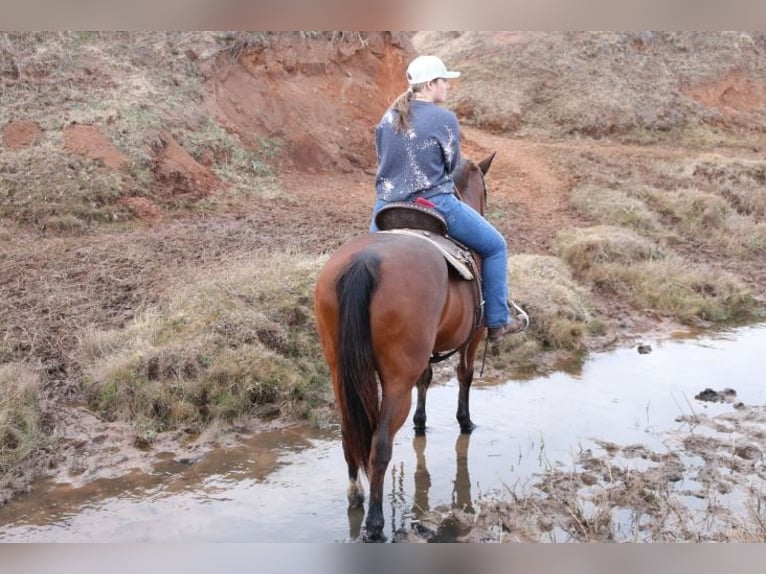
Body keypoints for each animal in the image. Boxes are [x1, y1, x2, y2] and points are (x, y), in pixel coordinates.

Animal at [314, 151, 498, 544]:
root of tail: (364, 261)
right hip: (397, 379)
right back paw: (374, 524)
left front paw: (421, 423)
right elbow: (464, 375)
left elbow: (427, 379)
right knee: (380, 444)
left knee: (349, 433)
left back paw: (356, 497)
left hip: (339, 369)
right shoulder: (473, 336)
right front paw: (464, 420)